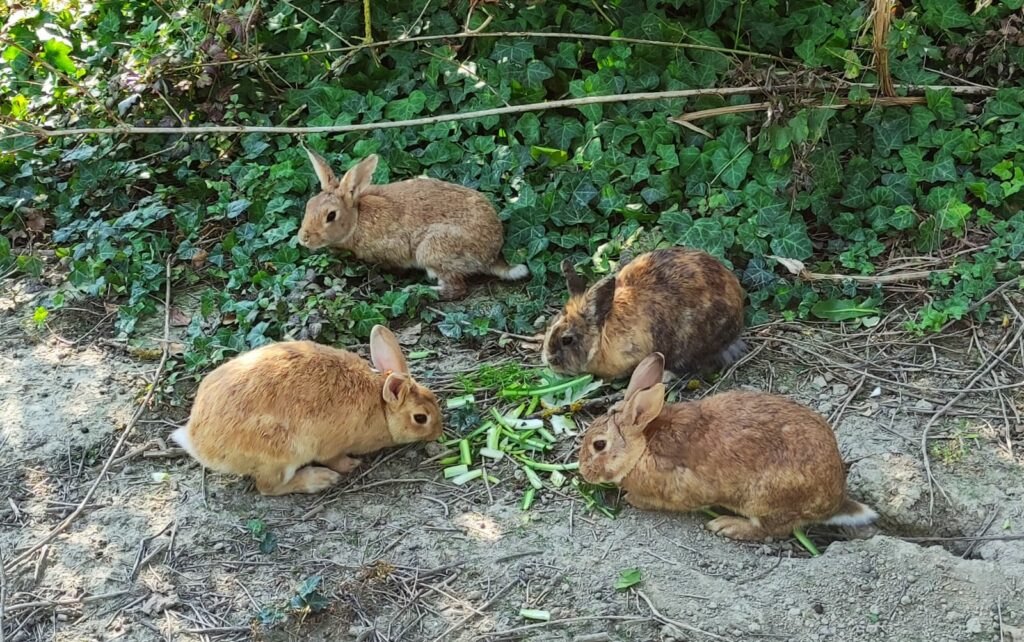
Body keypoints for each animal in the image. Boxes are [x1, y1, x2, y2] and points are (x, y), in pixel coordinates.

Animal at [169, 325, 442, 497]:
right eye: (420, 418)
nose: (438, 433)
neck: (382, 408)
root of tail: (198, 442)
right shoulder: (331, 446)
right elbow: (335, 459)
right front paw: (351, 465)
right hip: (282, 453)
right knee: (268, 487)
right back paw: (319, 480)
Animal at [296, 149, 528, 301]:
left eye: (331, 216)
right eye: (309, 205)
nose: (304, 238)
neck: (357, 217)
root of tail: (492, 254)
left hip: (431, 250)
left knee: (456, 288)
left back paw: (416, 291)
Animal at [581, 354, 876, 540]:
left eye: (599, 445)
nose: (584, 472)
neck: (643, 445)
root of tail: (834, 502)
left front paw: (632, 498)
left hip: (765, 499)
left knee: (771, 531)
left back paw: (727, 526)